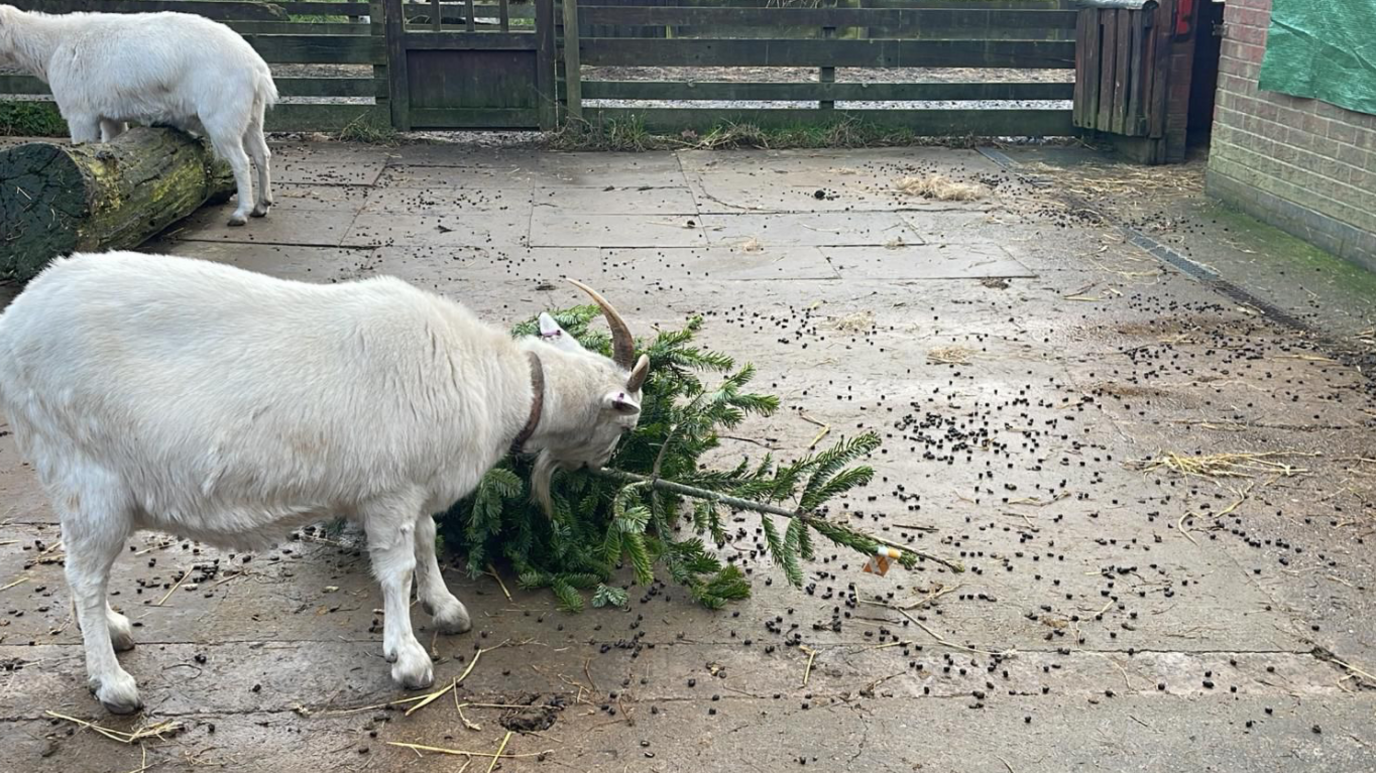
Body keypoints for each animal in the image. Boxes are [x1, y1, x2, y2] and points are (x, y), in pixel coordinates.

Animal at [0, 5, 279, 225]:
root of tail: (258, 70)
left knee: (240, 160)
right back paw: (262, 205)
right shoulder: (109, 113)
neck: (53, 44)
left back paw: (241, 213)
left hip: (223, 110)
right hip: (251, 113)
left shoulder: (80, 111)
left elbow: (83, 144)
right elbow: (112, 144)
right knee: (261, 154)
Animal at [0, 250, 652, 715]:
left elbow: (428, 540)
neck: (496, 382)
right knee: (83, 575)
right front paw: (408, 659)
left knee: (83, 573)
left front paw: (444, 608)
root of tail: (16, 319)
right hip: (87, 475)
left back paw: (113, 630)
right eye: (625, 423)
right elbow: (397, 568)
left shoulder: (415, 487)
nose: (598, 471)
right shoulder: (388, 490)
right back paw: (113, 682)